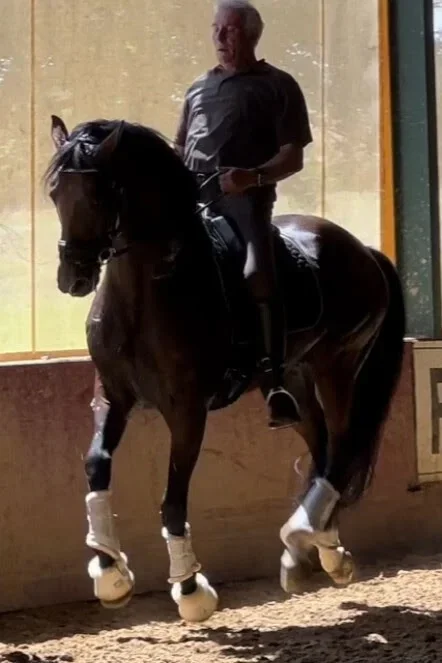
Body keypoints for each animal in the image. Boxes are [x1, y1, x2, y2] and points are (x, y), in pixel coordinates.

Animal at [45, 114, 405, 622]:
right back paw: (308, 551)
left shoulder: (187, 410)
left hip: (338, 365)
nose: (72, 277)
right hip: (295, 378)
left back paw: (315, 545)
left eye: (98, 195)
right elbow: (97, 465)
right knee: (319, 447)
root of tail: (363, 250)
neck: (145, 293)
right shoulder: (113, 394)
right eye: (55, 192)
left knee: (341, 446)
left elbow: (173, 498)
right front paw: (110, 573)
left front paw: (190, 590)